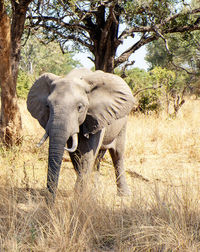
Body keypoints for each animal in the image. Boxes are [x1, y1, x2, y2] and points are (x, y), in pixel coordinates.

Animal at [26, 68, 135, 199]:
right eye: (48, 106)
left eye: (80, 107)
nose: (50, 201)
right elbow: (75, 155)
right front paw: (82, 193)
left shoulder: (97, 116)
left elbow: (87, 154)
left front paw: (79, 197)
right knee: (98, 158)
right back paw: (95, 191)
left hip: (123, 121)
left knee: (117, 154)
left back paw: (124, 195)